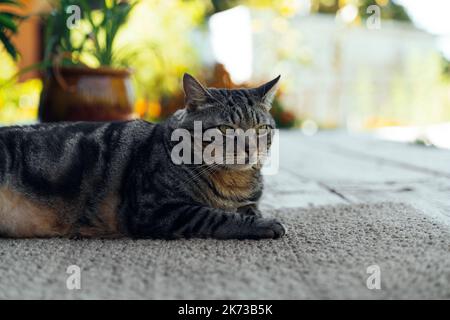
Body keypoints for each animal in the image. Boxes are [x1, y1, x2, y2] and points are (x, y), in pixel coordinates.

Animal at [0, 74, 286, 240]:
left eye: (261, 129)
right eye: (226, 129)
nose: (250, 148)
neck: (234, 181)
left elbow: (249, 207)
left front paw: (255, 214)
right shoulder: (155, 209)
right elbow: (216, 215)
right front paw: (264, 224)